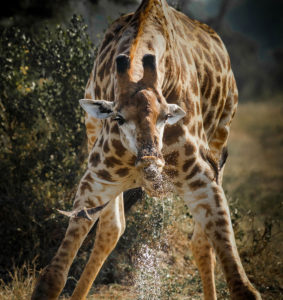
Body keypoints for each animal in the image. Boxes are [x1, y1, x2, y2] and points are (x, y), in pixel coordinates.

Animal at [31, 0, 262, 300]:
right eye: (118, 117)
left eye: (166, 116)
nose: (150, 165)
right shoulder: (96, 180)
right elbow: (52, 277)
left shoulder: (202, 180)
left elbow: (242, 287)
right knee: (113, 228)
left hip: (220, 144)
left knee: (200, 242)